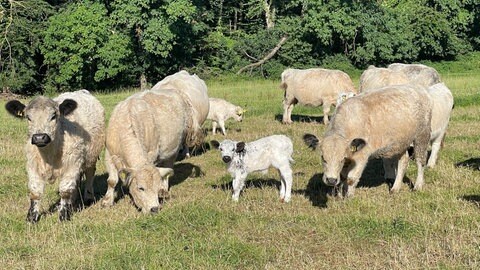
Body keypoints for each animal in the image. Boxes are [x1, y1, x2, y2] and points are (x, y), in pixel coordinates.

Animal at [5, 89, 104, 223]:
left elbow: (65, 190)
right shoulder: (32, 165)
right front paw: (31, 218)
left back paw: (88, 197)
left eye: (53, 116)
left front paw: (64, 216)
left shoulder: (72, 164)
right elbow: (35, 191)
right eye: (28, 117)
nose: (39, 137)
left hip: (91, 155)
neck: (49, 154)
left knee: (89, 173)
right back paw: (72, 201)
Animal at [304, 85, 432, 198]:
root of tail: (418, 89)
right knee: (403, 161)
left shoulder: (361, 155)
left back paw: (418, 185)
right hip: (401, 142)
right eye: (323, 158)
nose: (331, 180)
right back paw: (395, 188)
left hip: (422, 136)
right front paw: (340, 195)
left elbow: (351, 178)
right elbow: (343, 177)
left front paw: (349, 197)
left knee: (420, 161)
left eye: (341, 159)